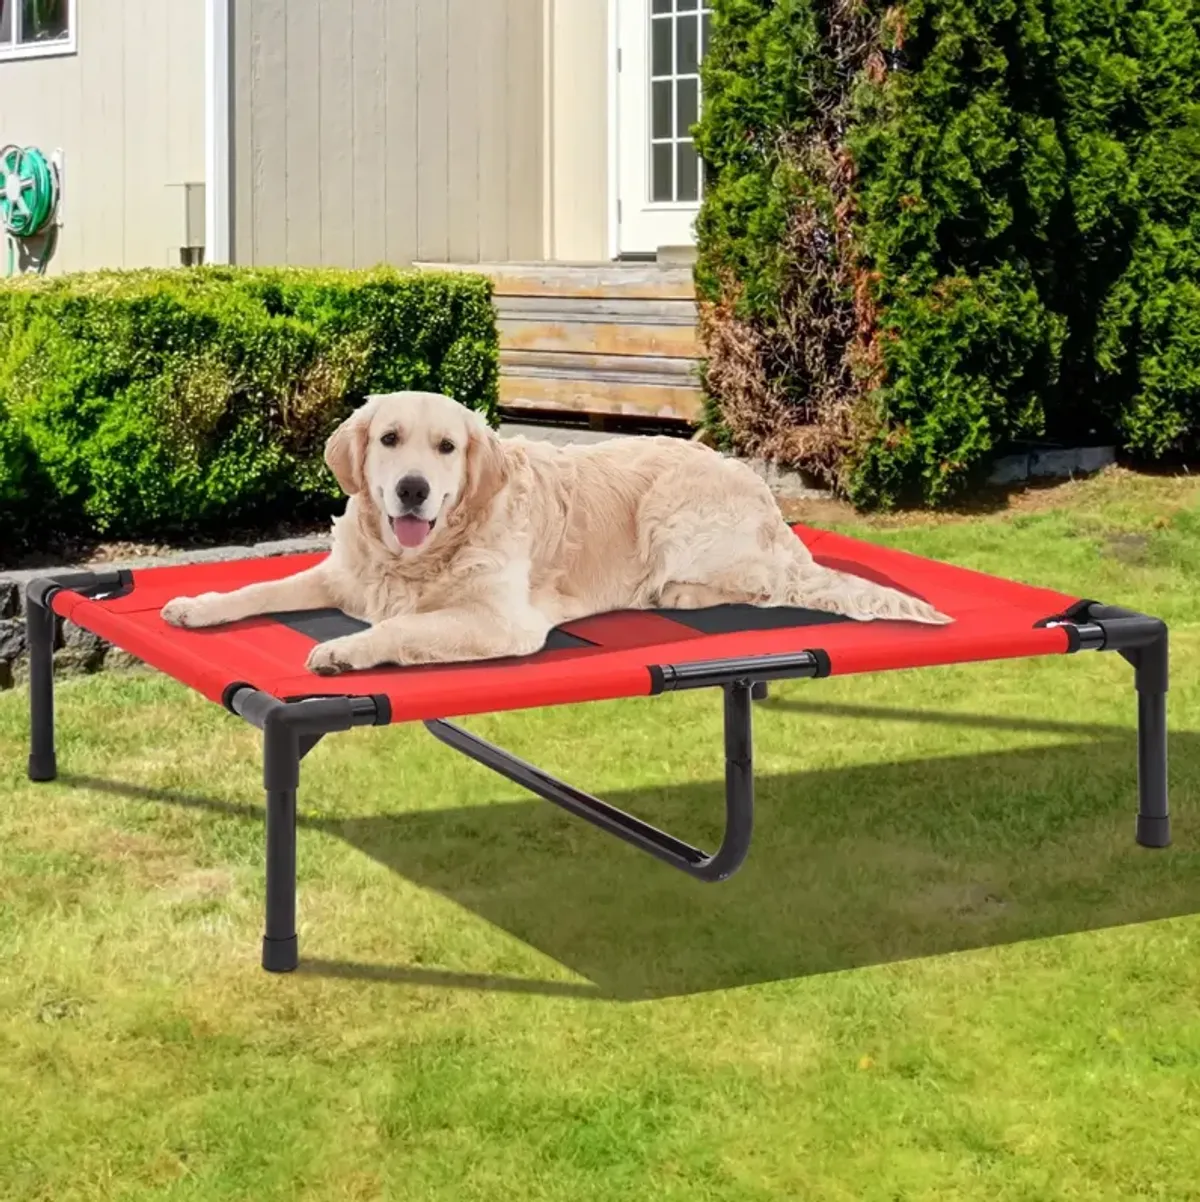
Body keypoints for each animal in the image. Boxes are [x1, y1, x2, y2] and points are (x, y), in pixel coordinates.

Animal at [159, 394, 952, 677]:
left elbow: (399, 629)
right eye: (389, 439)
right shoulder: (343, 574)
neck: (424, 554)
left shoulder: (500, 621)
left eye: (446, 448)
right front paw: (198, 606)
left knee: (764, 583)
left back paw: (681, 594)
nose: (412, 489)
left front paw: (343, 650)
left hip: (674, 515)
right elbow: (257, 587)